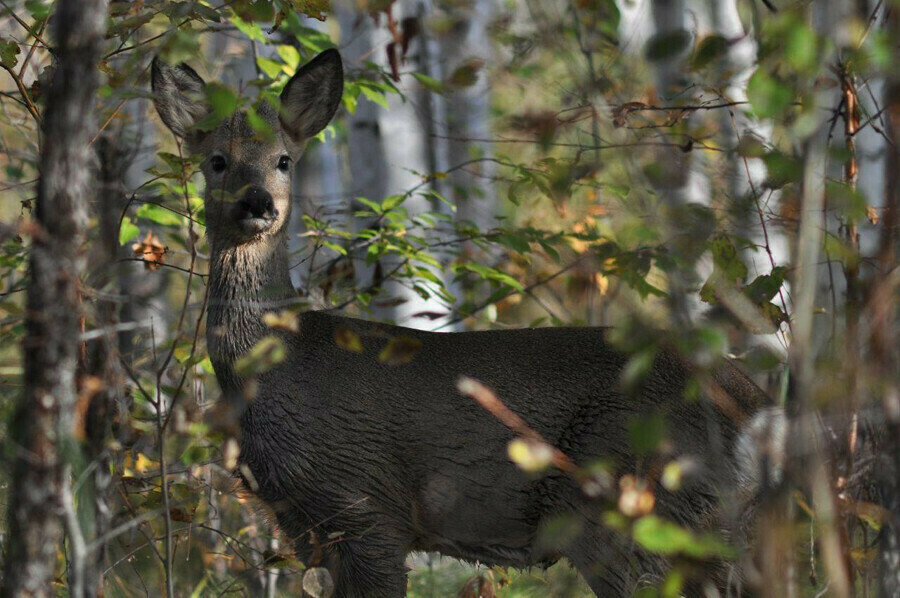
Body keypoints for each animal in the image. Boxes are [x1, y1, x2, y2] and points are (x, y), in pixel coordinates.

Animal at [151, 49, 776, 596]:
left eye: (284, 159)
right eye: (217, 160)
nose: (258, 203)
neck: (279, 363)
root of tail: (756, 406)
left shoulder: (366, 507)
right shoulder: (311, 531)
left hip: (633, 512)